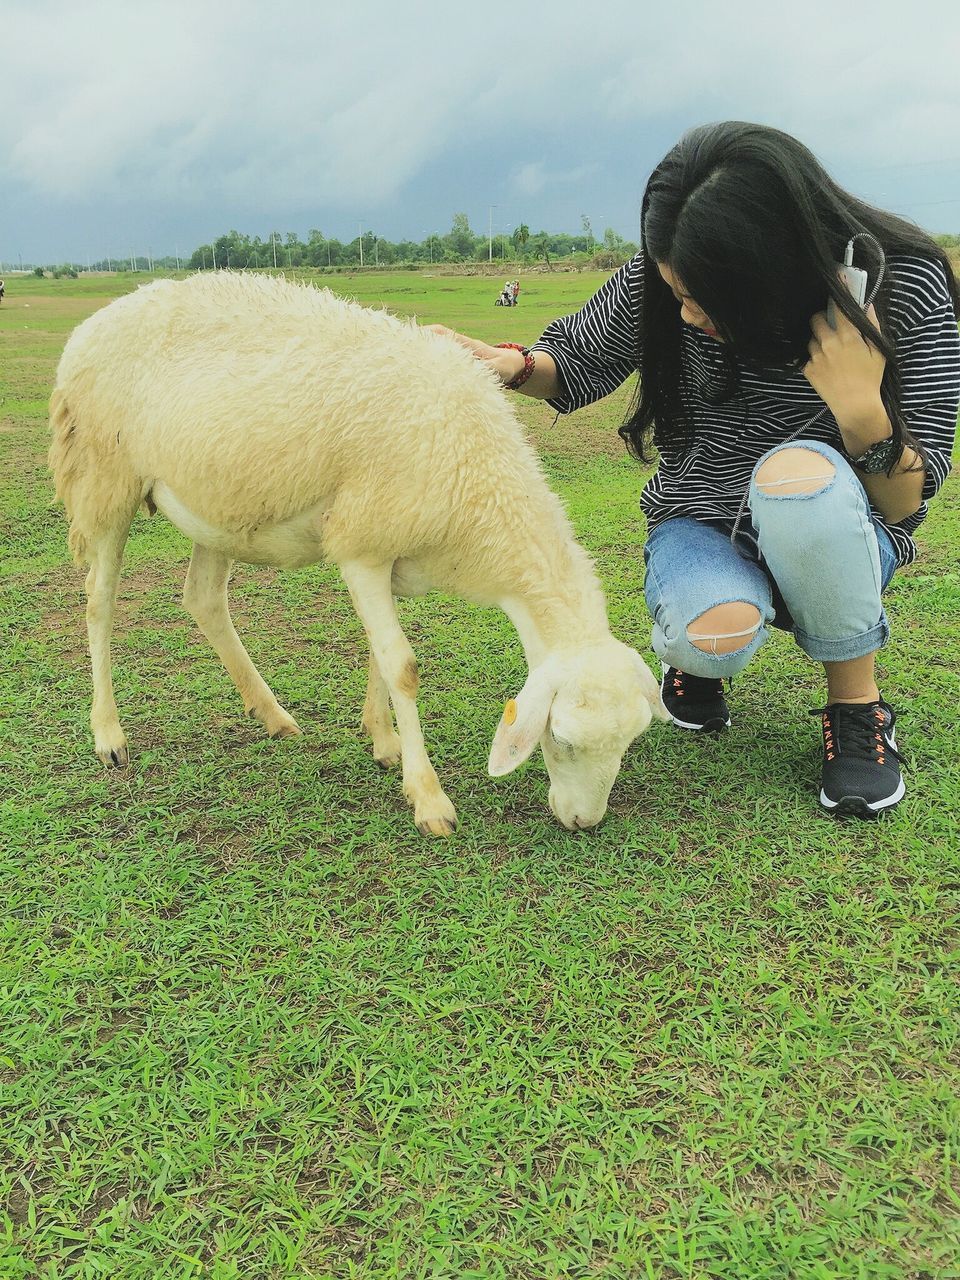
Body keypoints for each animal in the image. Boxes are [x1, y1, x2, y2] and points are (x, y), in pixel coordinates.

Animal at [48, 271, 670, 834]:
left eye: (631, 741)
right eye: (559, 739)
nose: (584, 823)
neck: (480, 485)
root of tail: (95, 321)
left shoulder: (386, 551)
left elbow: (379, 654)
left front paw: (385, 742)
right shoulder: (361, 547)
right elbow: (403, 667)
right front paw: (428, 797)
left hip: (217, 505)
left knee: (202, 599)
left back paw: (271, 714)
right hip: (105, 478)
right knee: (99, 602)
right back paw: (109, 735)